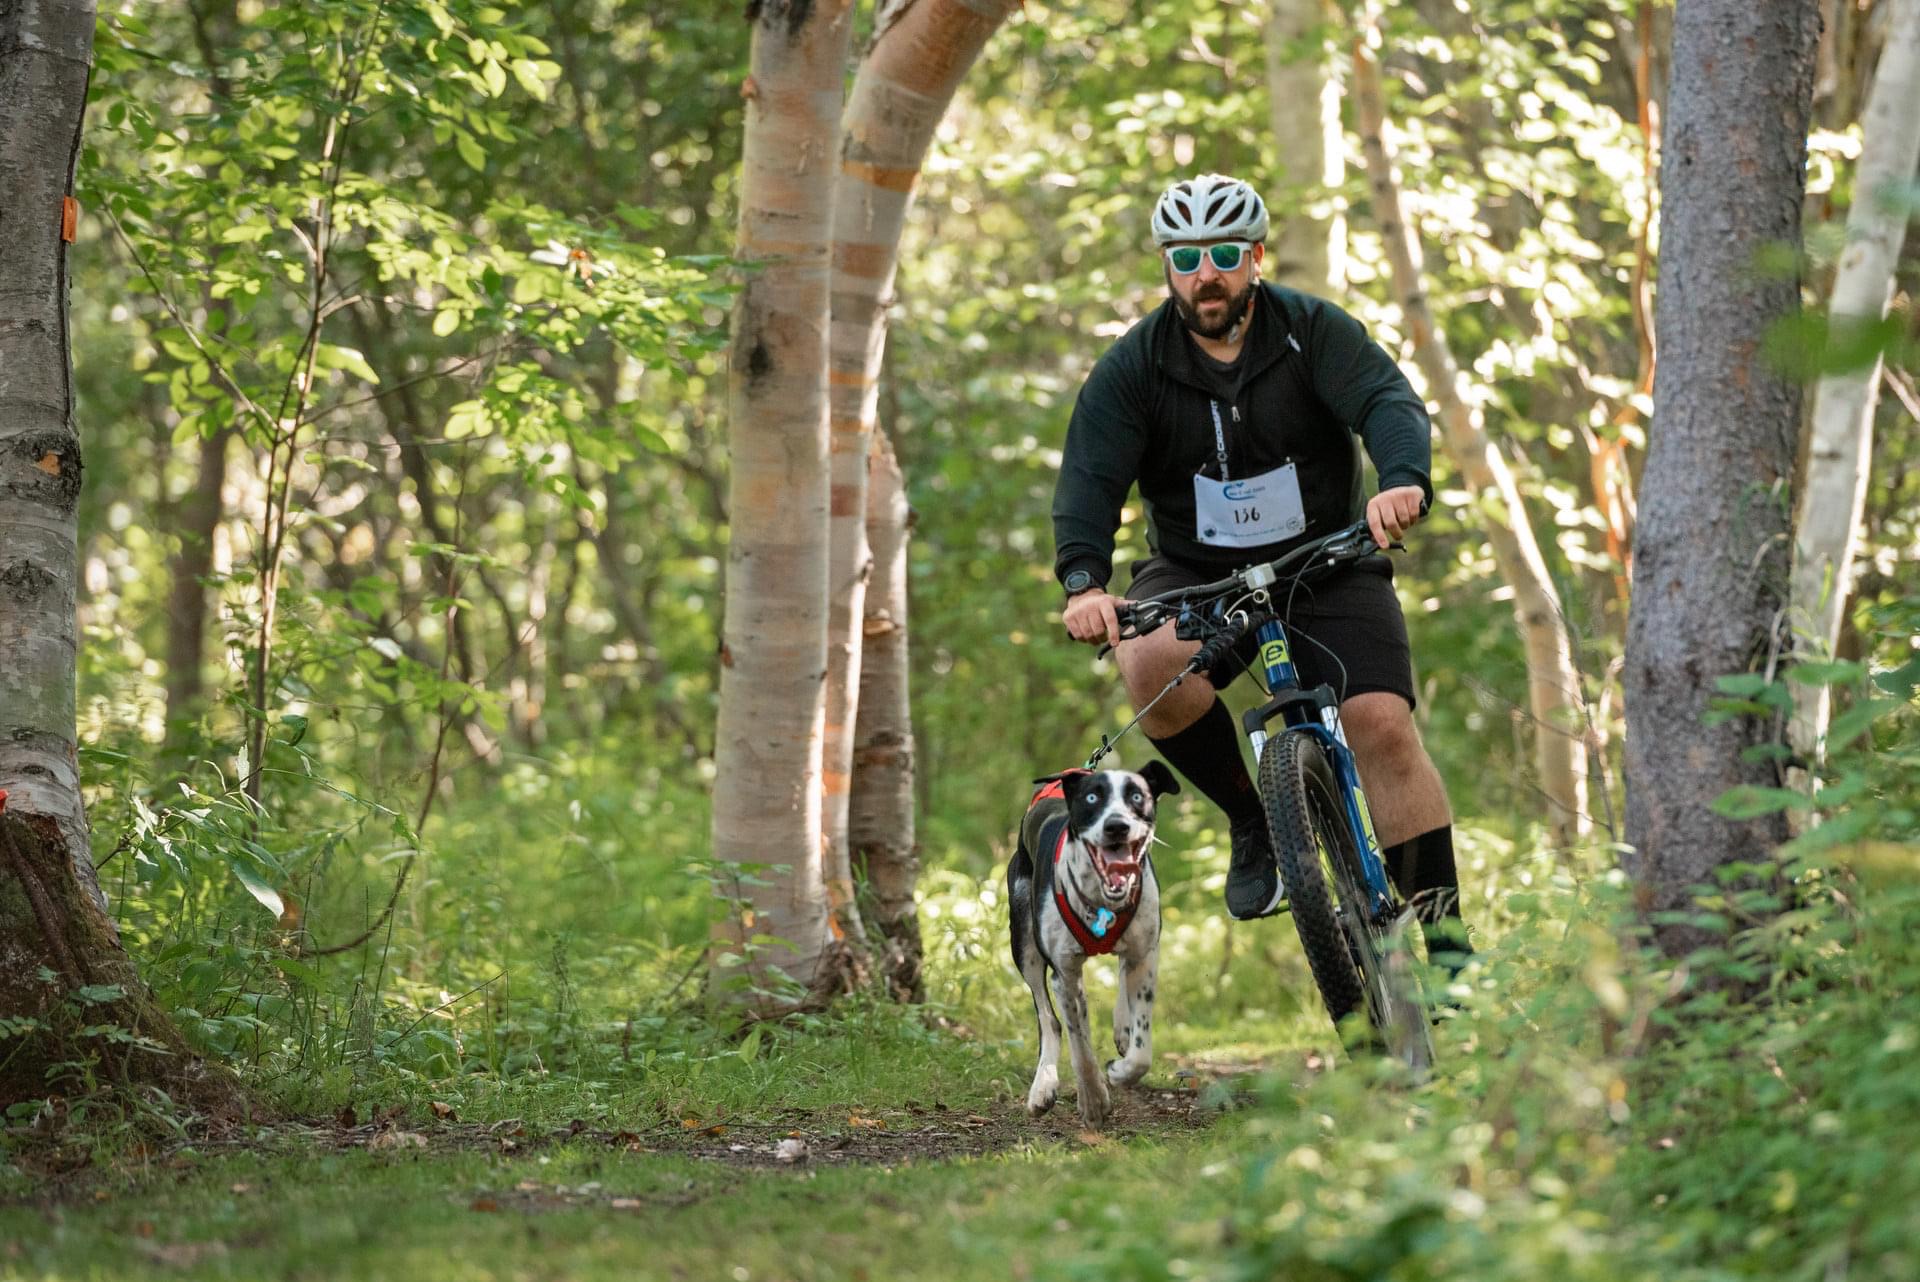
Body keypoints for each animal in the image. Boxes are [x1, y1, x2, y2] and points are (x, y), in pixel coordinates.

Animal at [1013, 767, 1175, 1128]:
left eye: (1136, 796)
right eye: (1092, 797)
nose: (1116, 826)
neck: (1103, 901)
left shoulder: (1145, 956)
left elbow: (1141, 1053)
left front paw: (1120, 1071)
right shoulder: (1063, 972)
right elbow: (1080, 1047)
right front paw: (1093, 1101)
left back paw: (1122, 1028)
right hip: (1024, 943)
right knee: (1051, 1019)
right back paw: (1043, 1086)